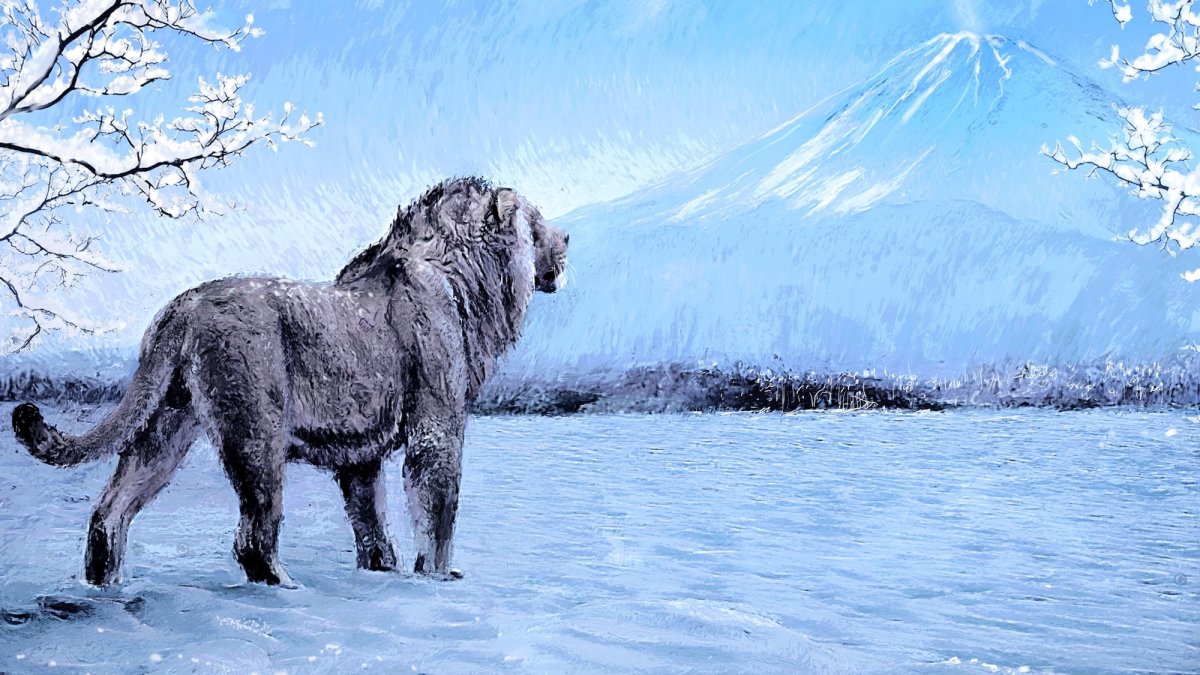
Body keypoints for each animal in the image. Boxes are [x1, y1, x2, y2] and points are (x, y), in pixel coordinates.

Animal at [11, 177, 569, 586]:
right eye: (537, 223)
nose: (568, 242)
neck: (467, 281)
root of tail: (182, 307)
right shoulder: (437, 424)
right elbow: (438, 507)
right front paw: (438, 577)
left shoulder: (360, 455)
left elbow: (370, 521)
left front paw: (382, 572)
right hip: (256, 431)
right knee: (254, 538)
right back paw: (287, 586)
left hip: (165, 426)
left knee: (110, 513)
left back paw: (104, 585)